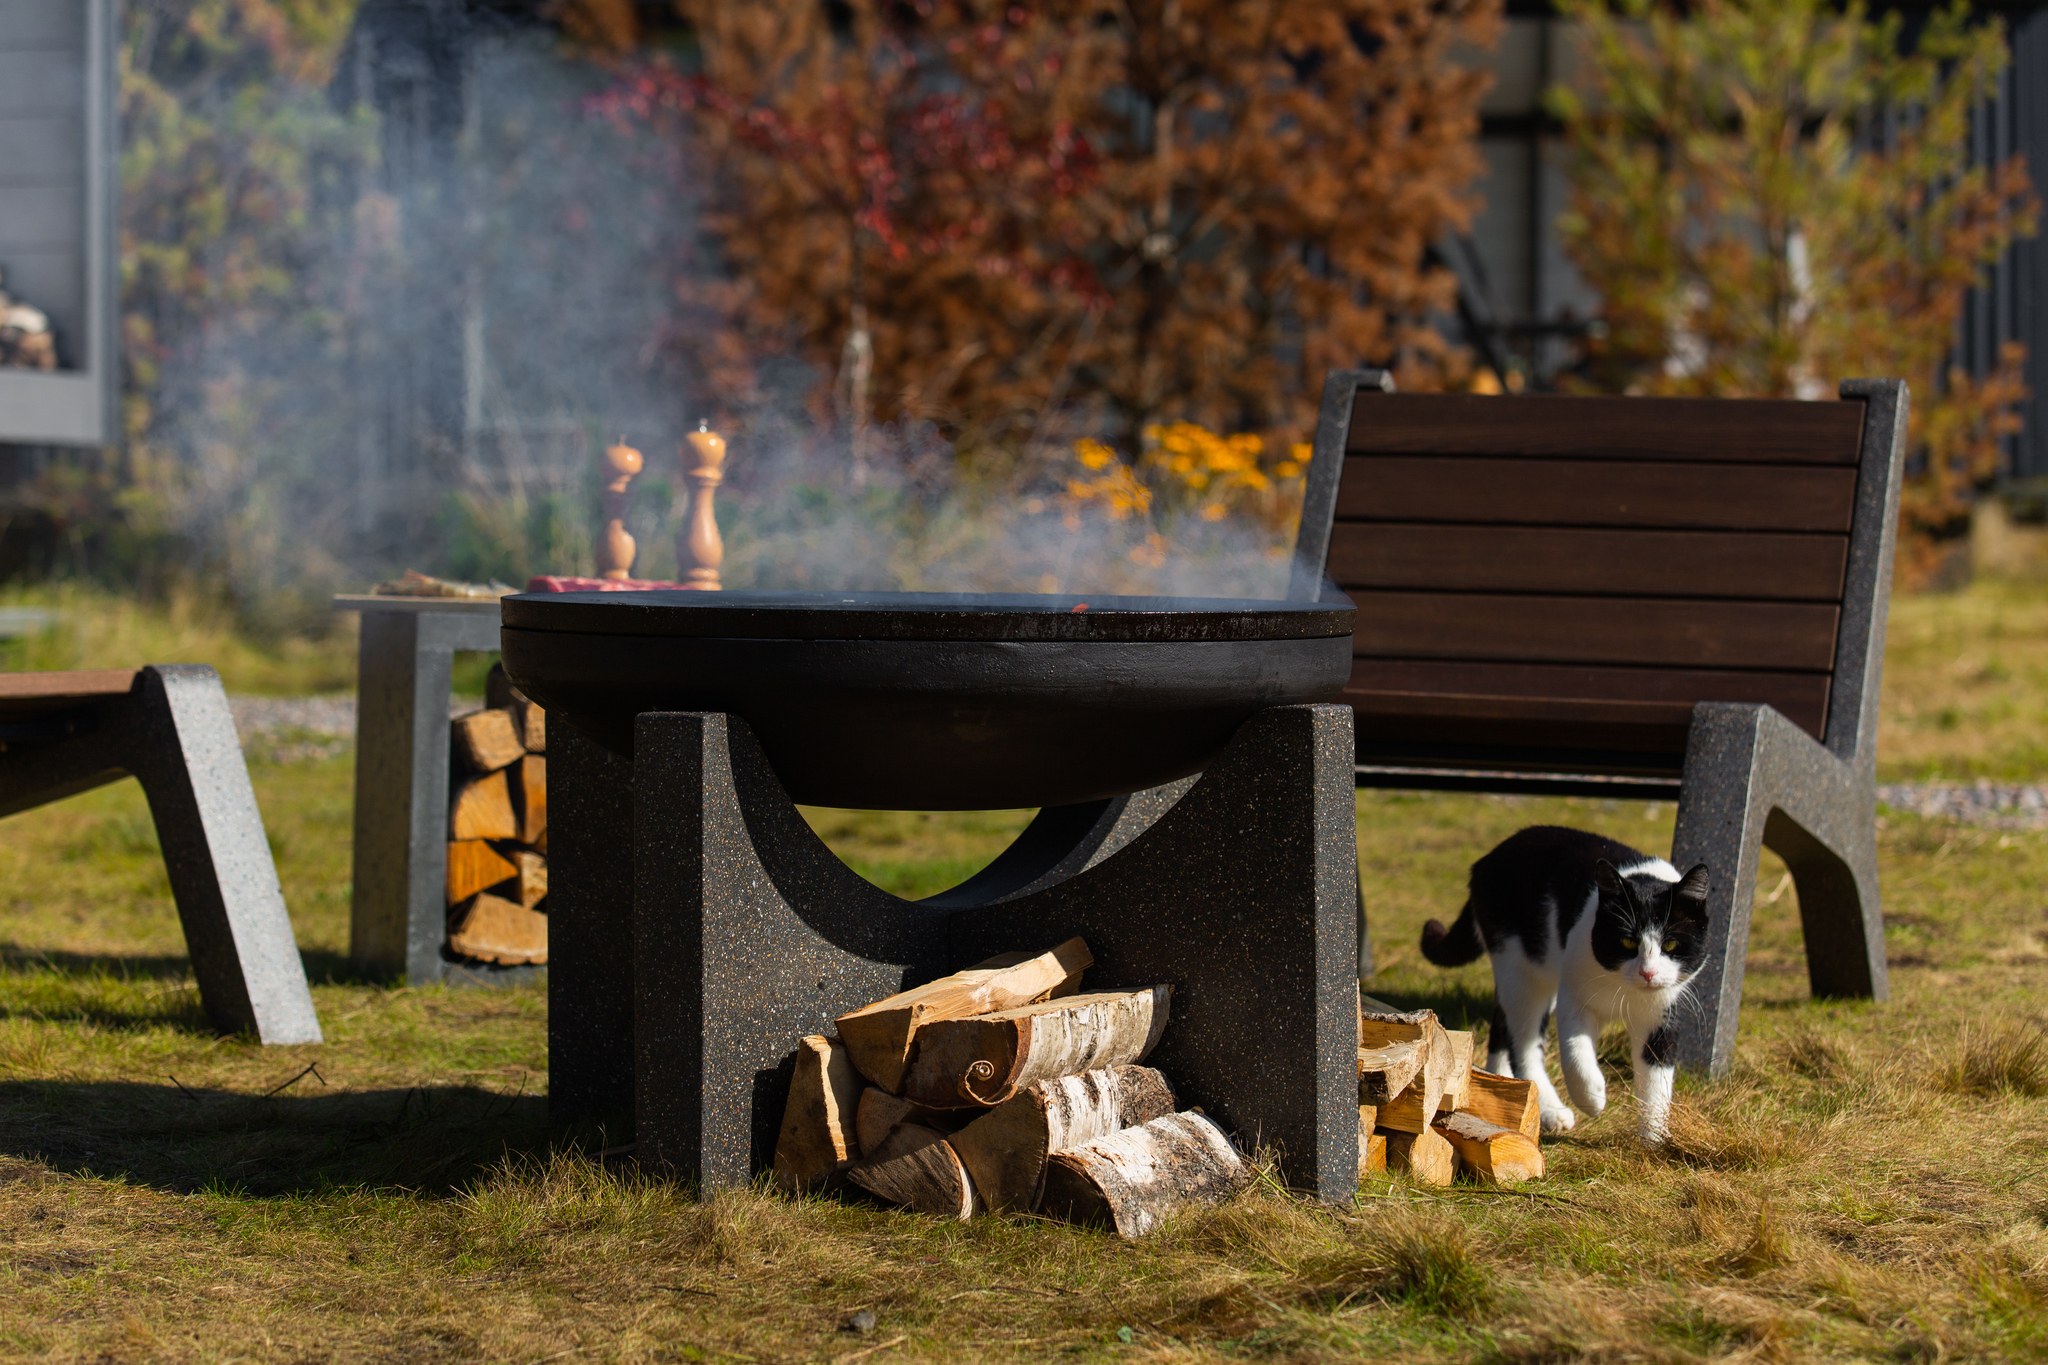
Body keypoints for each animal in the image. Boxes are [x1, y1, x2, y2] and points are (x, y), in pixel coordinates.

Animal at [1417, 826, 1703, 1146]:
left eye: (1671, 944)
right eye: (1628, 941)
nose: (1648, 973)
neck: (1624, 988)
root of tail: (1486, 860)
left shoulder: (1661, 1015)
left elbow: (1656, 1076)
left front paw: (1654, 1137)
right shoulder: (1574, 997)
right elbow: (1575, 1053)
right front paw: (1592, 1098)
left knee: (1502, 1026)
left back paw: (1506, 1089)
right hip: (1521, 971)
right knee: (1523, 1043)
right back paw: (1550, 1109)